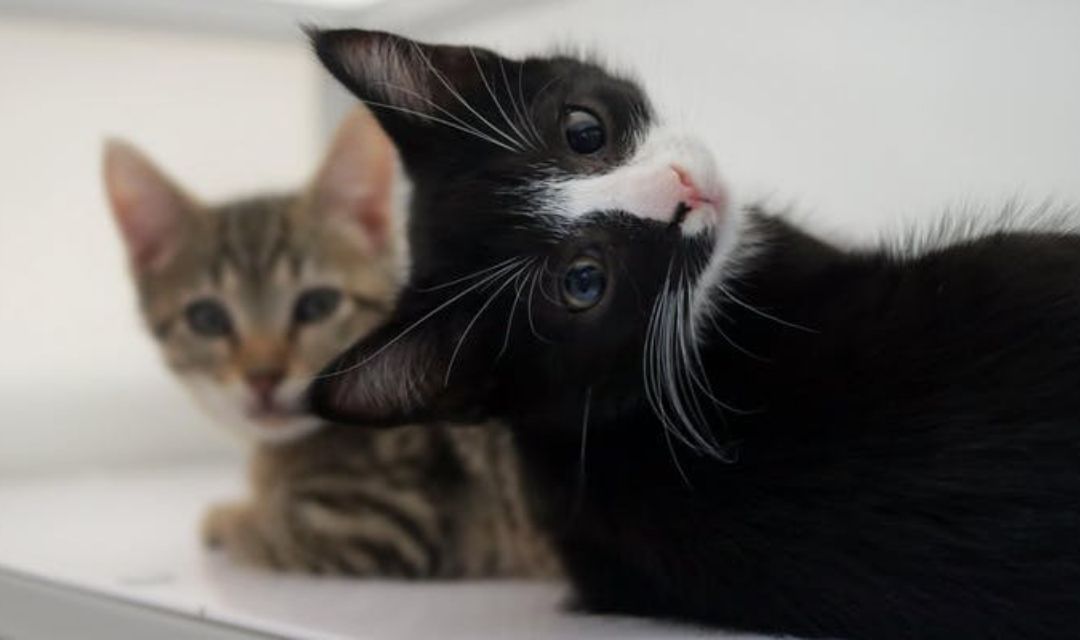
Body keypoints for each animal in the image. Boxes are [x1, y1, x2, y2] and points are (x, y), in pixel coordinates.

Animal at [104, 110, 561, 578]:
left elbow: (265, 533)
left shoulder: (385, 521)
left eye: (317, 305)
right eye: (208, 319)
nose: (263, 378)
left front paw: (230, 518)